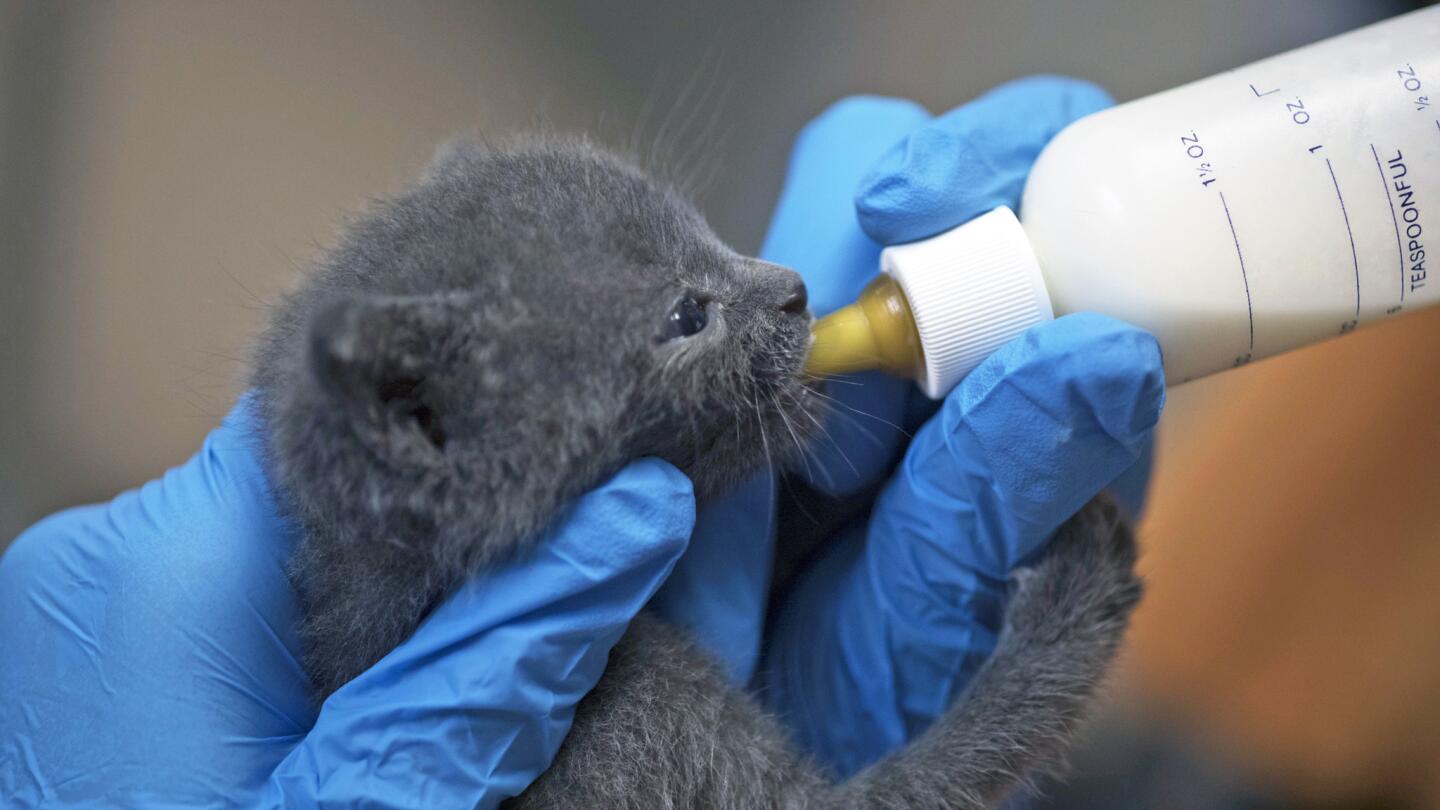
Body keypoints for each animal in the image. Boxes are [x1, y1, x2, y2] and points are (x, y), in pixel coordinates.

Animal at [250, 135, 1146, 801]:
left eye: (709, 236)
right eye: (687, 315)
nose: (795, 289)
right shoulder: (627, 732)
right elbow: (919, 787)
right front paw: (1072, 594)